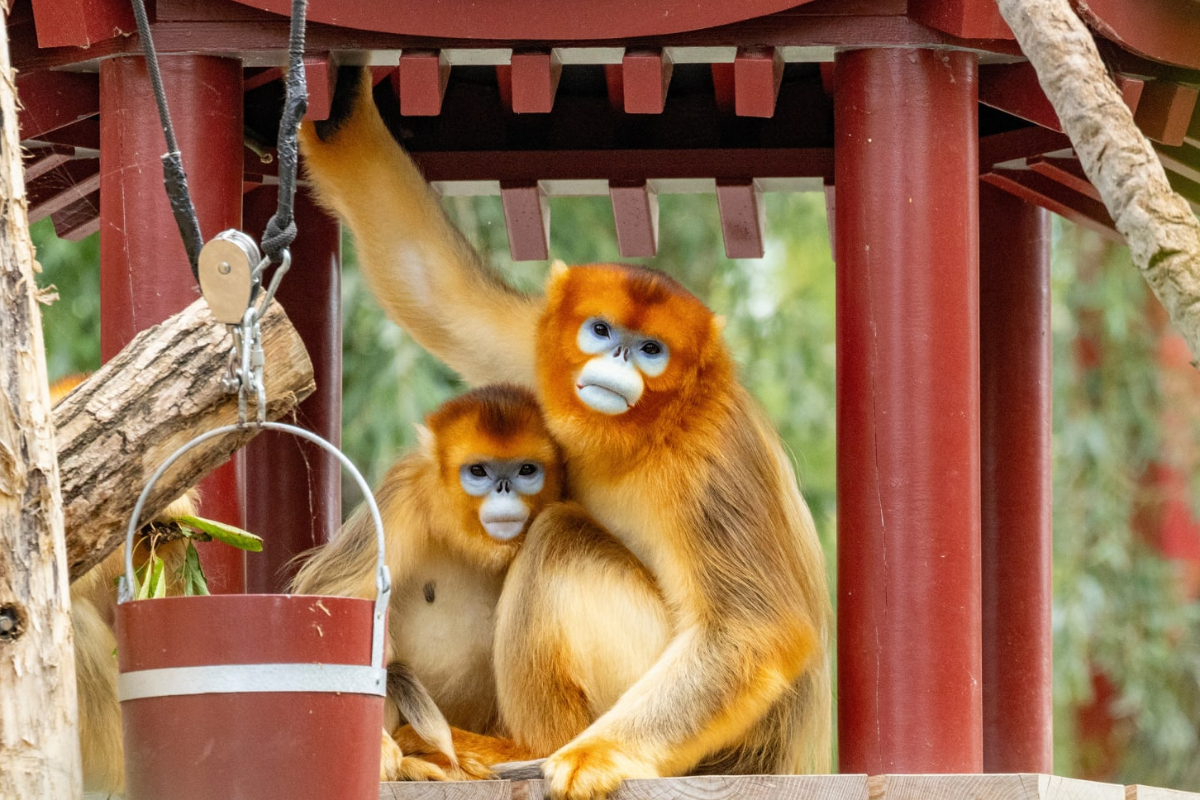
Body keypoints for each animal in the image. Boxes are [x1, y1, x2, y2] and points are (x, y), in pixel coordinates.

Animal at [289, 384, 563, 781]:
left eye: (526, 470)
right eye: (478, 471)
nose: (504, 489)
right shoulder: (402, 495)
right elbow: (333, 597)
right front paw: (378, 748)